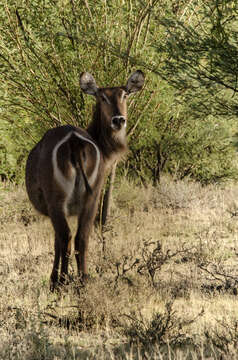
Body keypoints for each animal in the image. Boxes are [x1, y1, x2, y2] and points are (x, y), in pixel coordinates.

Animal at [25, 70, 144, 290]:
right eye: (102, 97)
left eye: (124, 95)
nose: (118, 120)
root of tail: (74, 140)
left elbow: (57, 241)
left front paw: (54, 280)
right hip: (92, 197)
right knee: (82, 236)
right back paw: (83, 281)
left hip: (57, 201)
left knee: (66, 237)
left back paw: (61, 282)